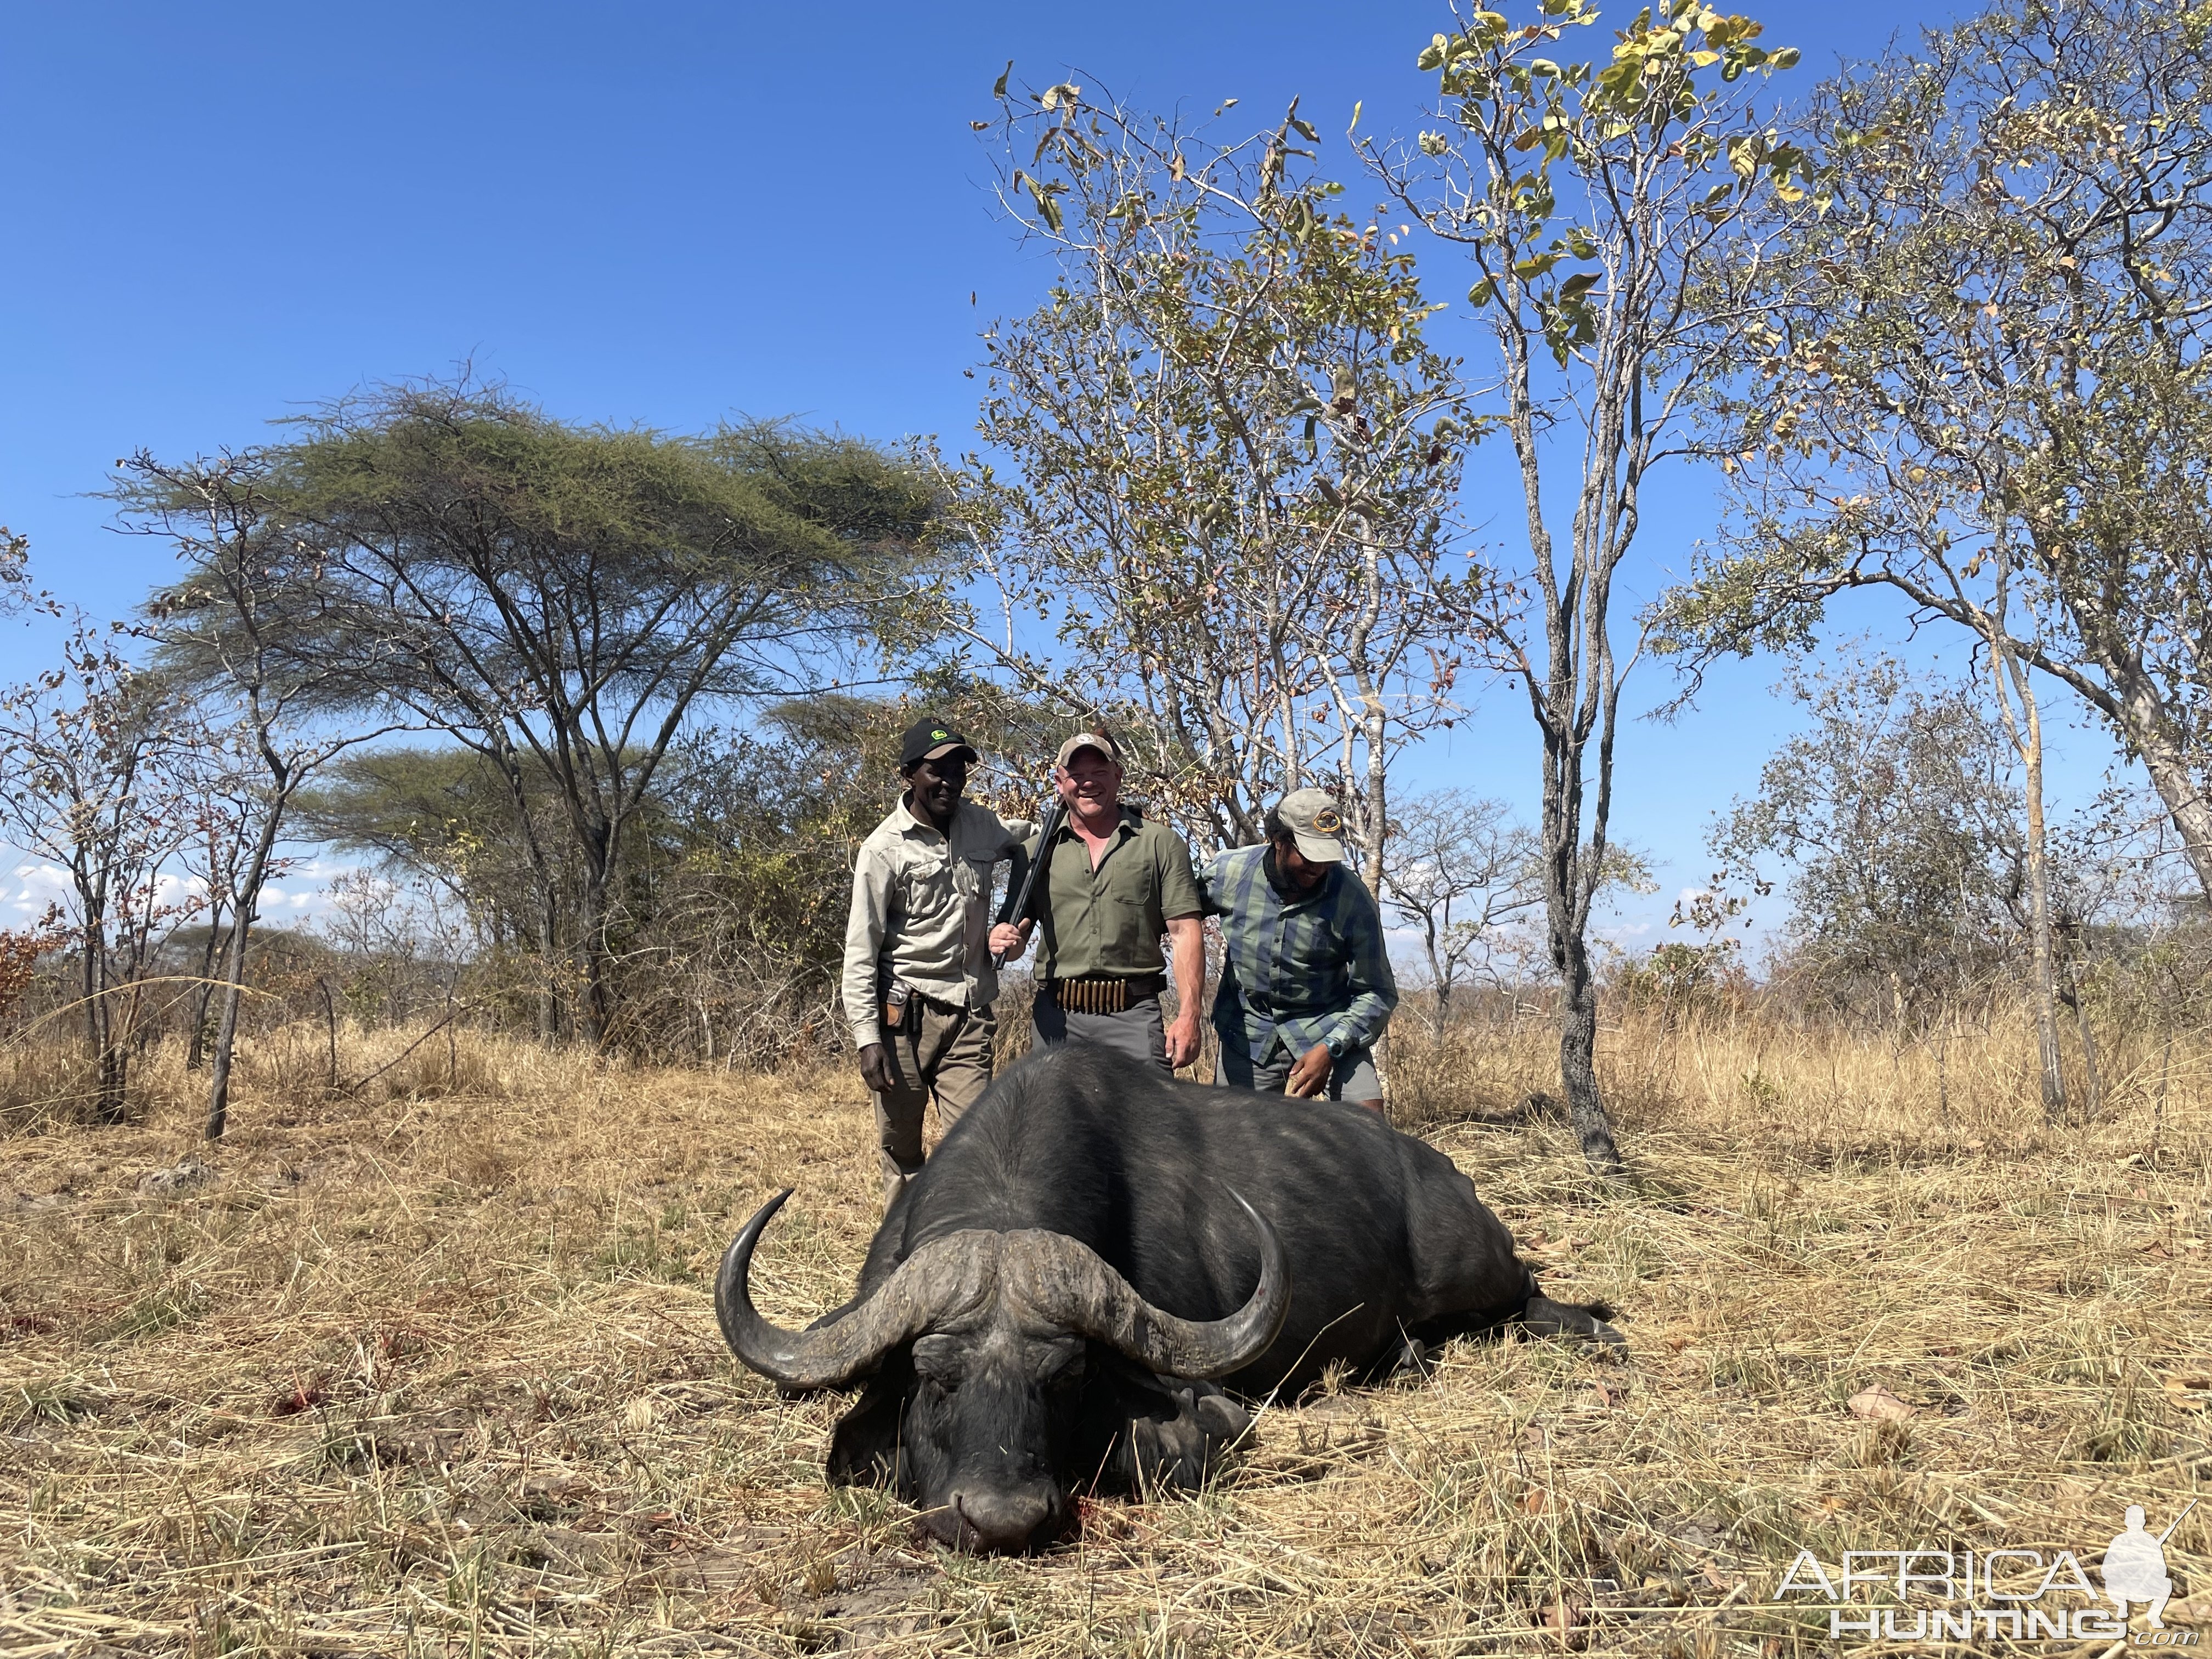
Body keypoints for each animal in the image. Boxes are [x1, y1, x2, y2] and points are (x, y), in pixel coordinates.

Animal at [716, 1053, 1619, 1557]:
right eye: (936, 1377)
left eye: (1067, 1378)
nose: (1005, 1522)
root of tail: (1443, 1173)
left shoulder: (1207, 1409)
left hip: (1484, 1275)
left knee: (1532, 1301)